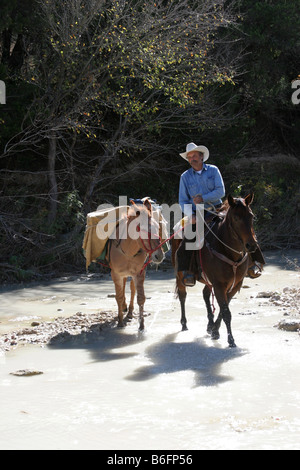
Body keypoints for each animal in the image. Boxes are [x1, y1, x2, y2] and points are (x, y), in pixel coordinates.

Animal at [107, 198, 165, 330]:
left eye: (157, 227)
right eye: (142, 229)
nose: (159, 255)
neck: (128, 250)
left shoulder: (139, 273)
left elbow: (141, 298)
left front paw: (141, 326)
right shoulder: (115, 274)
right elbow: (118, 297)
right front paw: (120, 322)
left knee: (132, 289)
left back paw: (129, 312)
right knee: (122, 288)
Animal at [172, 193, 258, 346]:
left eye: (251, 216)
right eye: (235, 218)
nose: (251, 245)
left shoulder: (235, 284)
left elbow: (223, 309)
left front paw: (215, 331)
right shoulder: (219, 285)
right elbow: (226, 312)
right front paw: (231, 340)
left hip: (208, 280)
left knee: (205, 294)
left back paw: (209, 325)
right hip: (180, 275)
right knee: (183, 296)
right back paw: (184, 324)